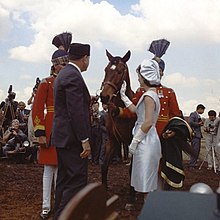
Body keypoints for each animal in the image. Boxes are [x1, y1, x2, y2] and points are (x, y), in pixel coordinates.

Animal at [99, 49, 136, 188]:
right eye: (106, 70)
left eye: (120, 71)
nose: (104, 97)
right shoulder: (113, 140)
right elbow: (104, 166)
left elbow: (132, 172)